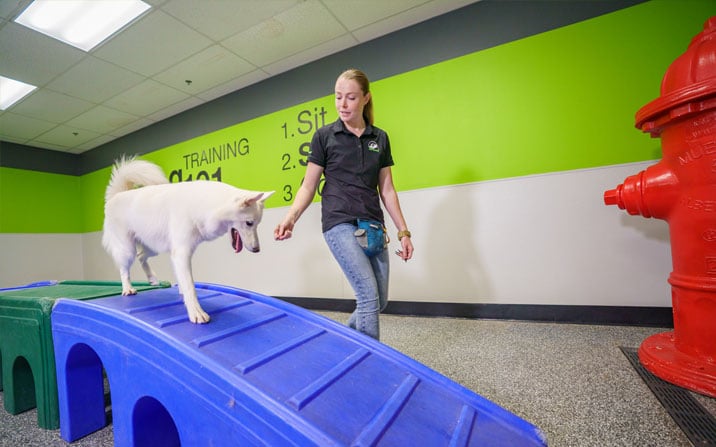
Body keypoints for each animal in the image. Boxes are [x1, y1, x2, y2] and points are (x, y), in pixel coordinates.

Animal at [103, 158, 274, 326]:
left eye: (257, 224)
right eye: (249, 223)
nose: (257, 249)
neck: (207, 205)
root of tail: (116, 195)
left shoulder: (178, 252)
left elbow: (184, 281)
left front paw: (182, 292)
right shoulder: (181, 253)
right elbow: (190, 286)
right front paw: (196, 312)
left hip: (153, 246)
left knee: (141, 256)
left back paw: (152, 279)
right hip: (127, 249)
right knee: (125, 269)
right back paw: (128, 288)